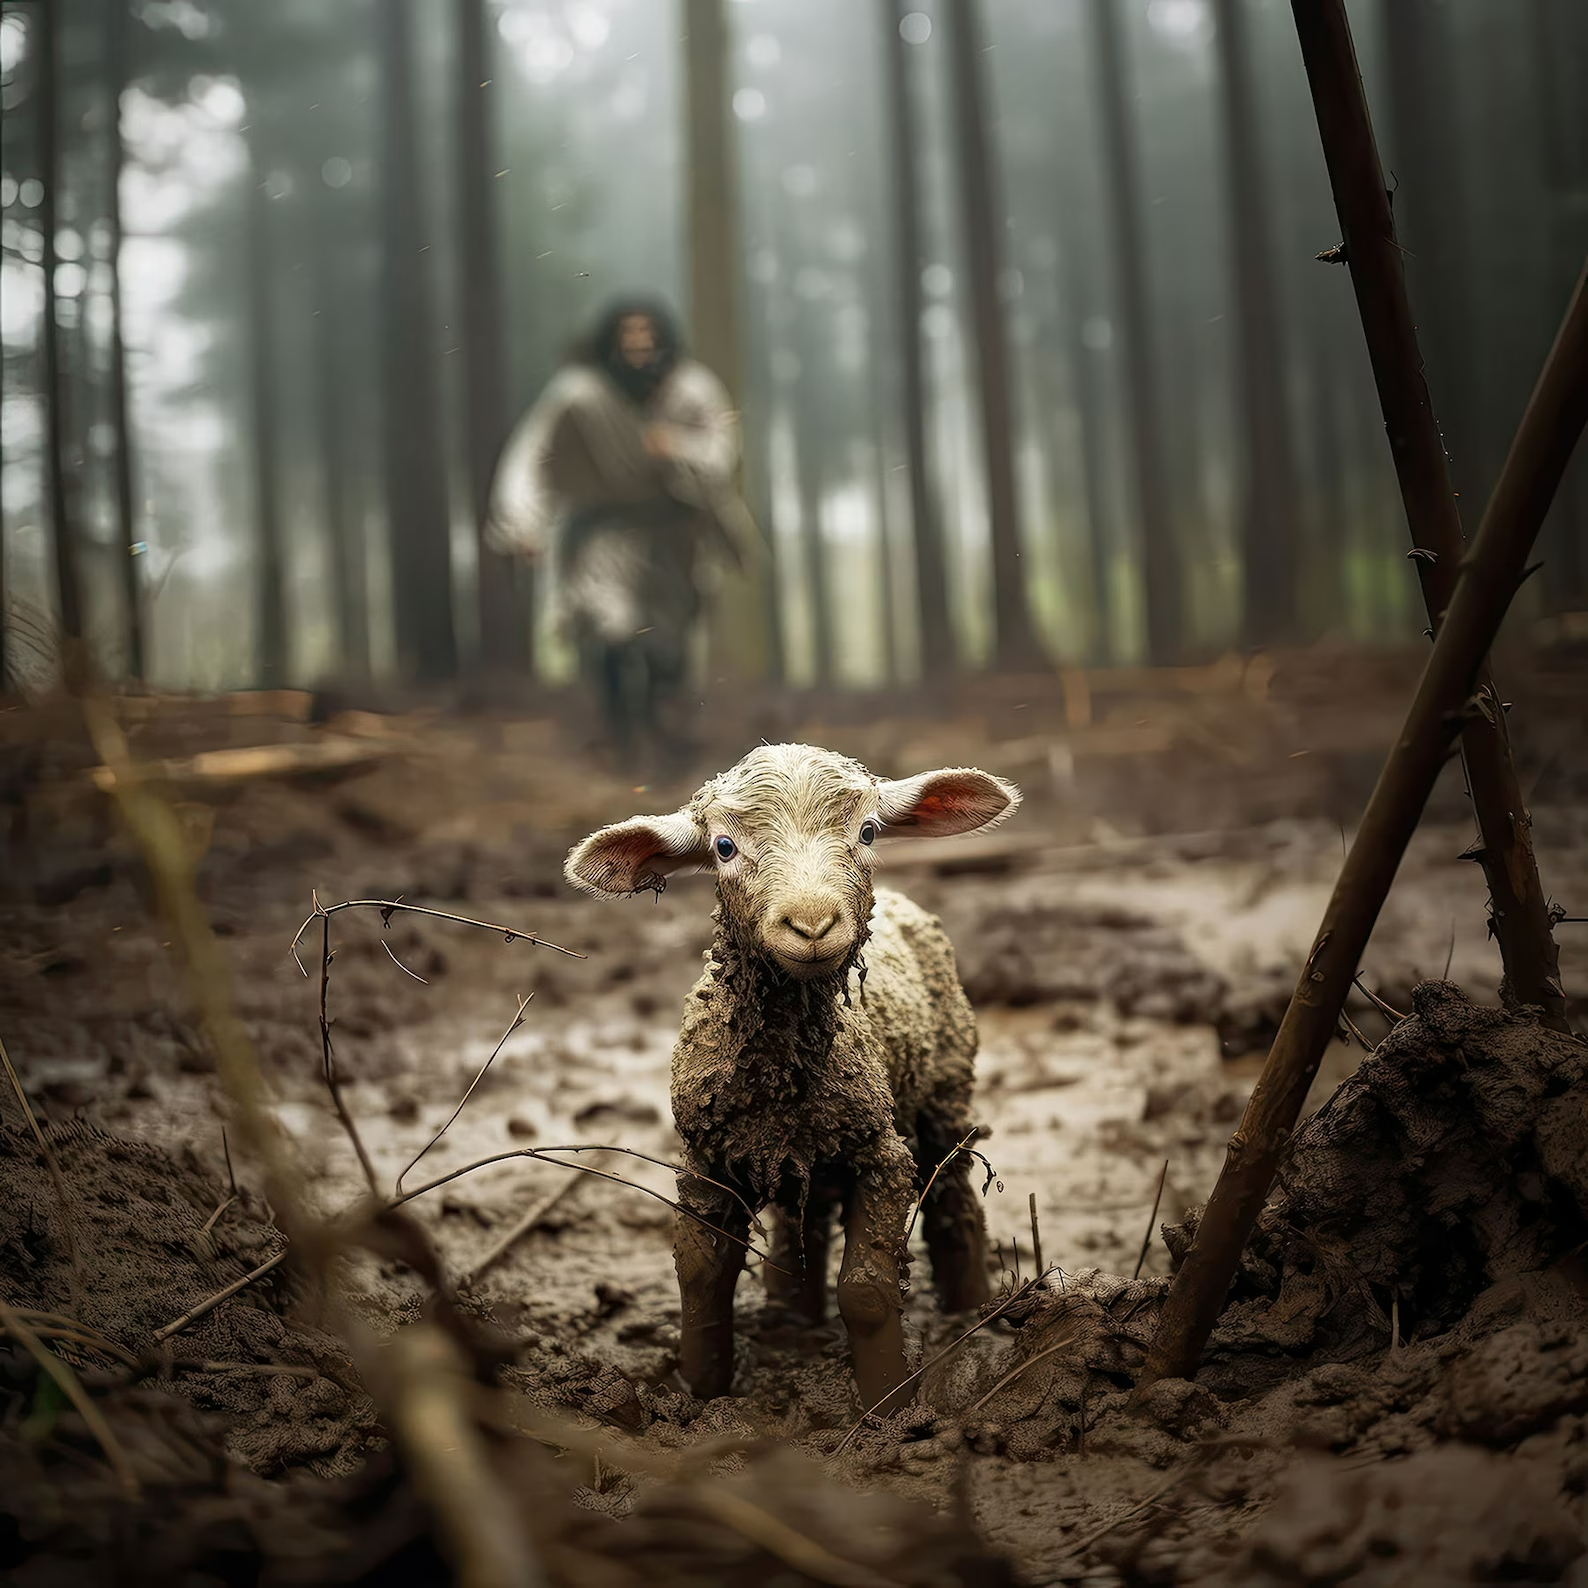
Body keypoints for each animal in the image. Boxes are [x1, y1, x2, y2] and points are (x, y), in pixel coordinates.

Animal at [565, 743, 1020, 1411]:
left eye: (868, 831)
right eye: (724, 847)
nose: (811, 925)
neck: (782, 1076)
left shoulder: (881, 1154)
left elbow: (865, 1291)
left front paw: (886, 1407)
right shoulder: (707, 1157)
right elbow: (699, 1274)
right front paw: (699, 1390)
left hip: (944, 1092)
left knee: (954, 1197)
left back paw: (972, 1310)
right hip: (803, 1150)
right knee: (802, 1219)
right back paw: (793, 1312)